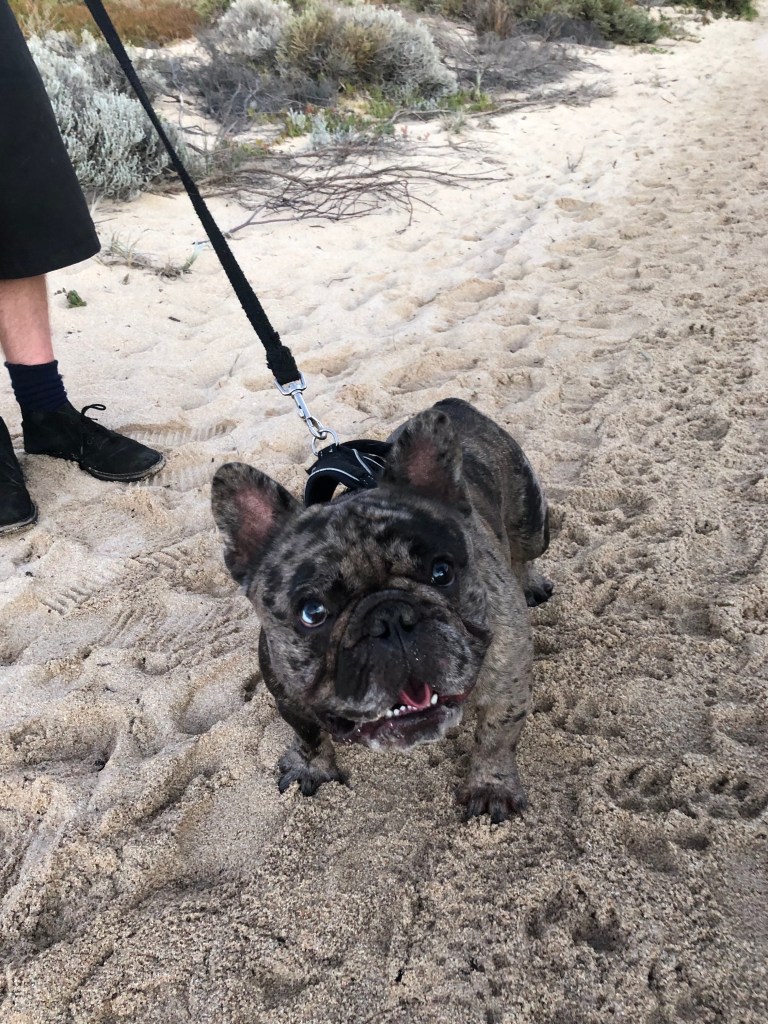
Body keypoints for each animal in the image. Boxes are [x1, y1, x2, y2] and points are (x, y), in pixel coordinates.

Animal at [211, 398, 552, 822]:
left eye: (442, 572)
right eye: (312, 613)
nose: (390, 617)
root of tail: (453, 403)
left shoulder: (508, 683)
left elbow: (495, 737)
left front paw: (492, 787)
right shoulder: (290, 699)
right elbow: (309, 735)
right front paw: (312, 766)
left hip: (532, 522)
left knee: (526, 552)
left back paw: (530, 582)